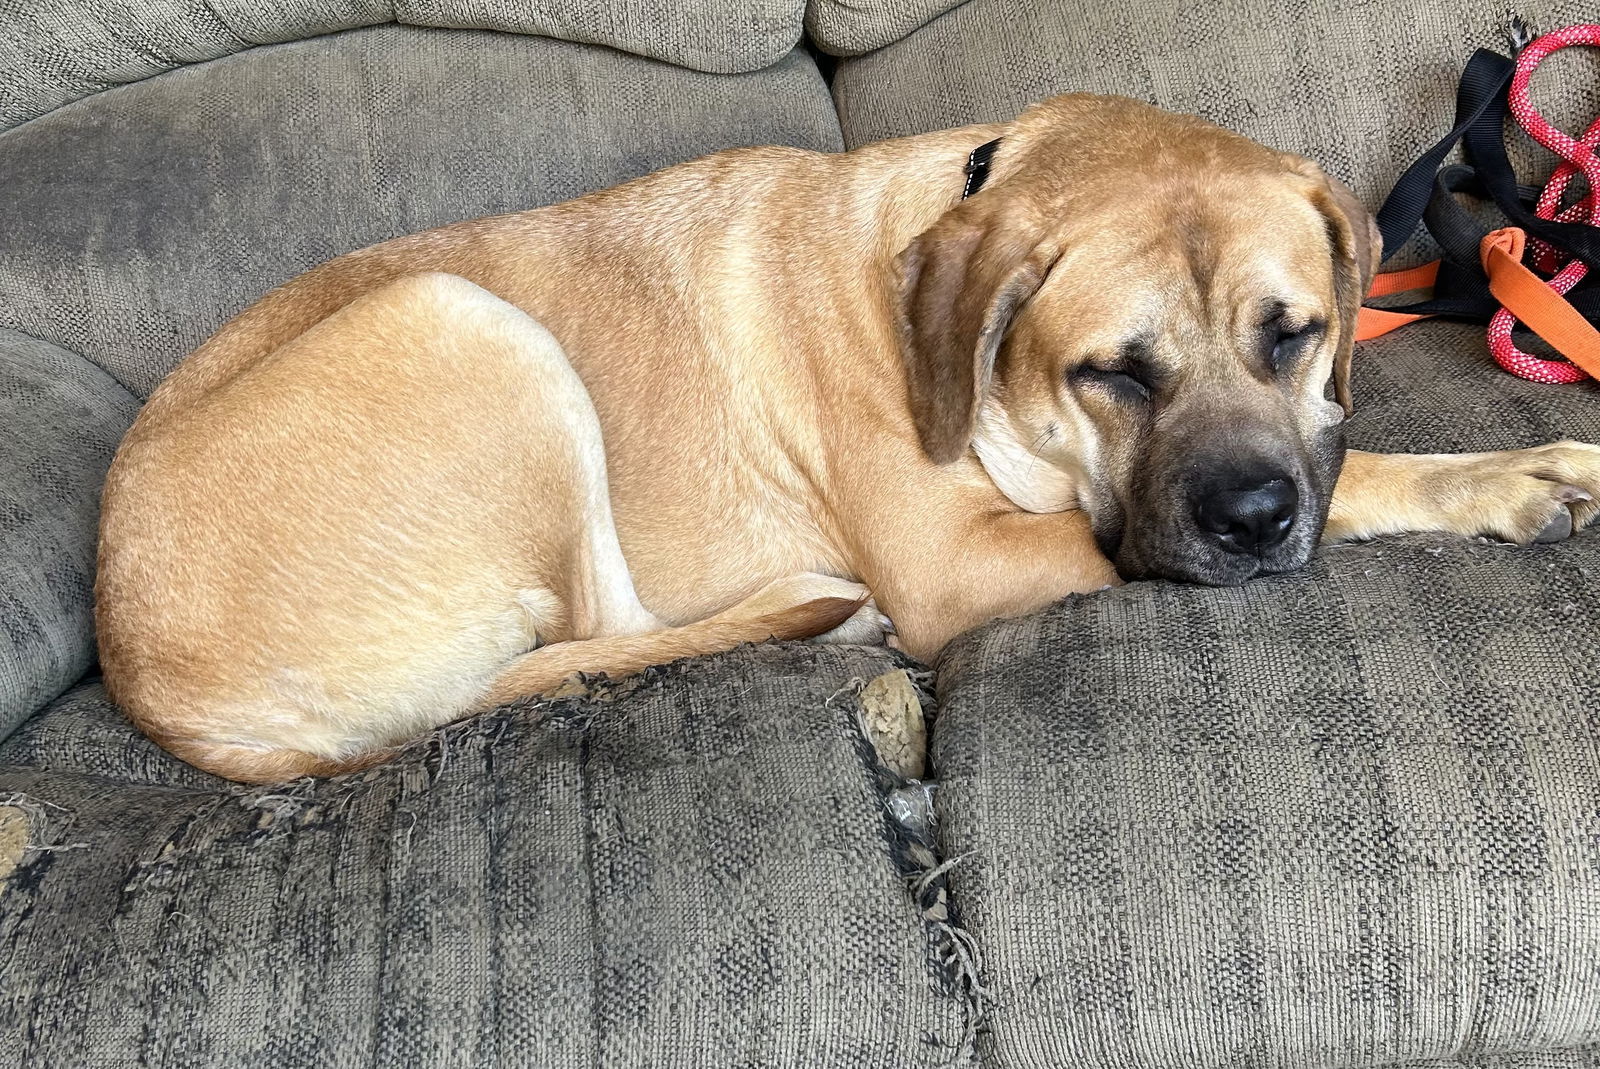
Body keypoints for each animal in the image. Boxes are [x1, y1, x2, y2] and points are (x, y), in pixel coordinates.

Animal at [96, 98, 1600, 784]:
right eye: (1113, 373)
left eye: (1294, 333)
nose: (1248, 522)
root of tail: (146, 673)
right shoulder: (966, 561)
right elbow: (1316, 496)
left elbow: (1342, 460)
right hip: (468, 322)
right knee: (612, 622)